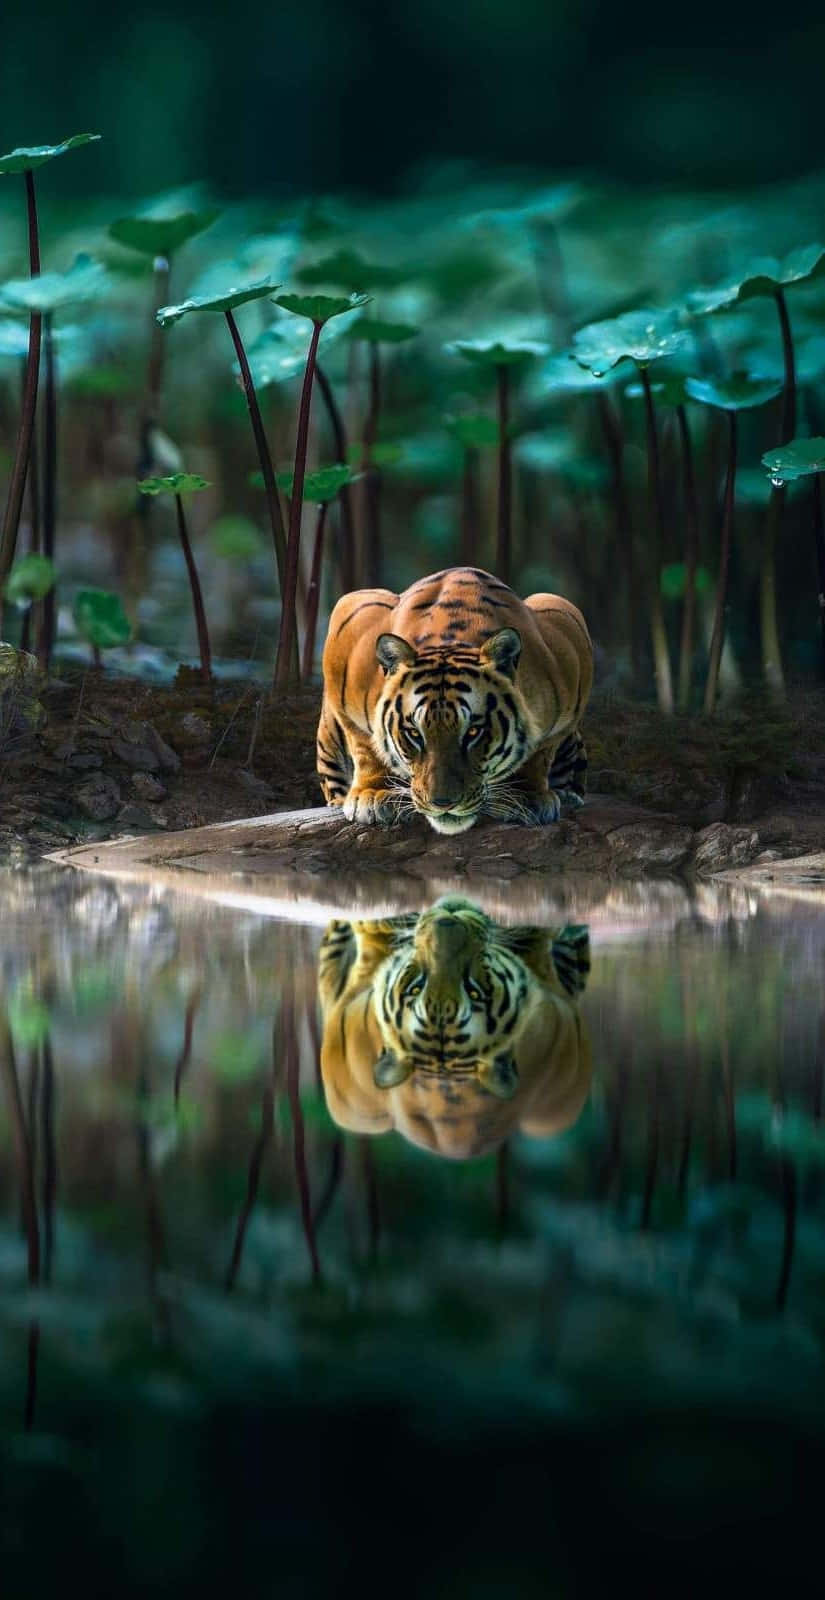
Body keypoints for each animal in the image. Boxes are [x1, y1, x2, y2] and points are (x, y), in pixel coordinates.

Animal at [316, 566, 593, 835]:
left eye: (473, 732)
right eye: (414, 734)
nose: (443, 804)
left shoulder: (568, 635)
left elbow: (540, 752)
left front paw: (525, 795)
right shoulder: (350, 620)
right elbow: (366, 745)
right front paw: (375, 794)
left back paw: (568, 795)